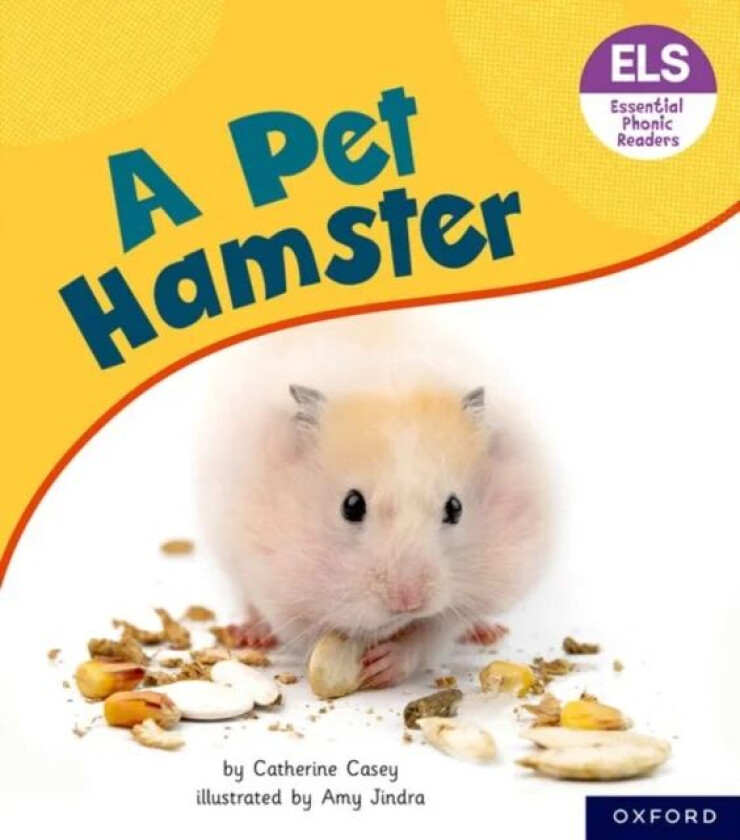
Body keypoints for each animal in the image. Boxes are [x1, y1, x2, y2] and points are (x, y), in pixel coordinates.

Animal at [197, 312, 549, 687]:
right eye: (351, 505)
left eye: (455, 508)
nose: (408, 602)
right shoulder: (273, 582)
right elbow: (310, 630)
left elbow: (432, 633)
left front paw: (383, 665)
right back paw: (250, 635)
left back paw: (487, 632)